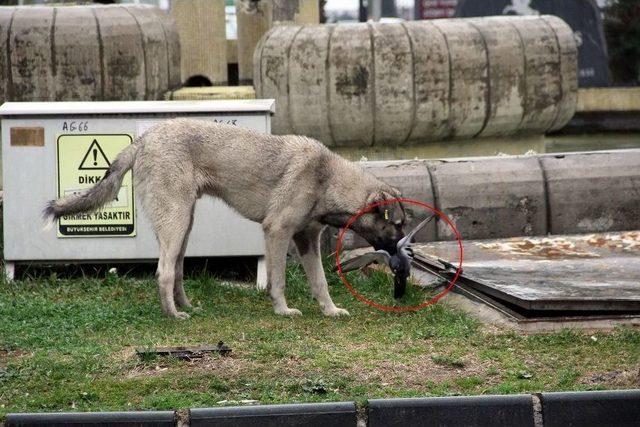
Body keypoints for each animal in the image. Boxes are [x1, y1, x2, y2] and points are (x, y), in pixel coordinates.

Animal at [43, 118, 404, 320]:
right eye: (397, 224)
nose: (402, 249)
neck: (326, 177)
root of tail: (145, 139)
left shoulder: (307, 241)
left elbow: (320, 282)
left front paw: (330, 311)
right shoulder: (277, 232)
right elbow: (279, 280)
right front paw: (282, 310)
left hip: (183, 226)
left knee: (176, 272)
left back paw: (187, 307)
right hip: (176, 223)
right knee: (163, 272)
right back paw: (173, 315)